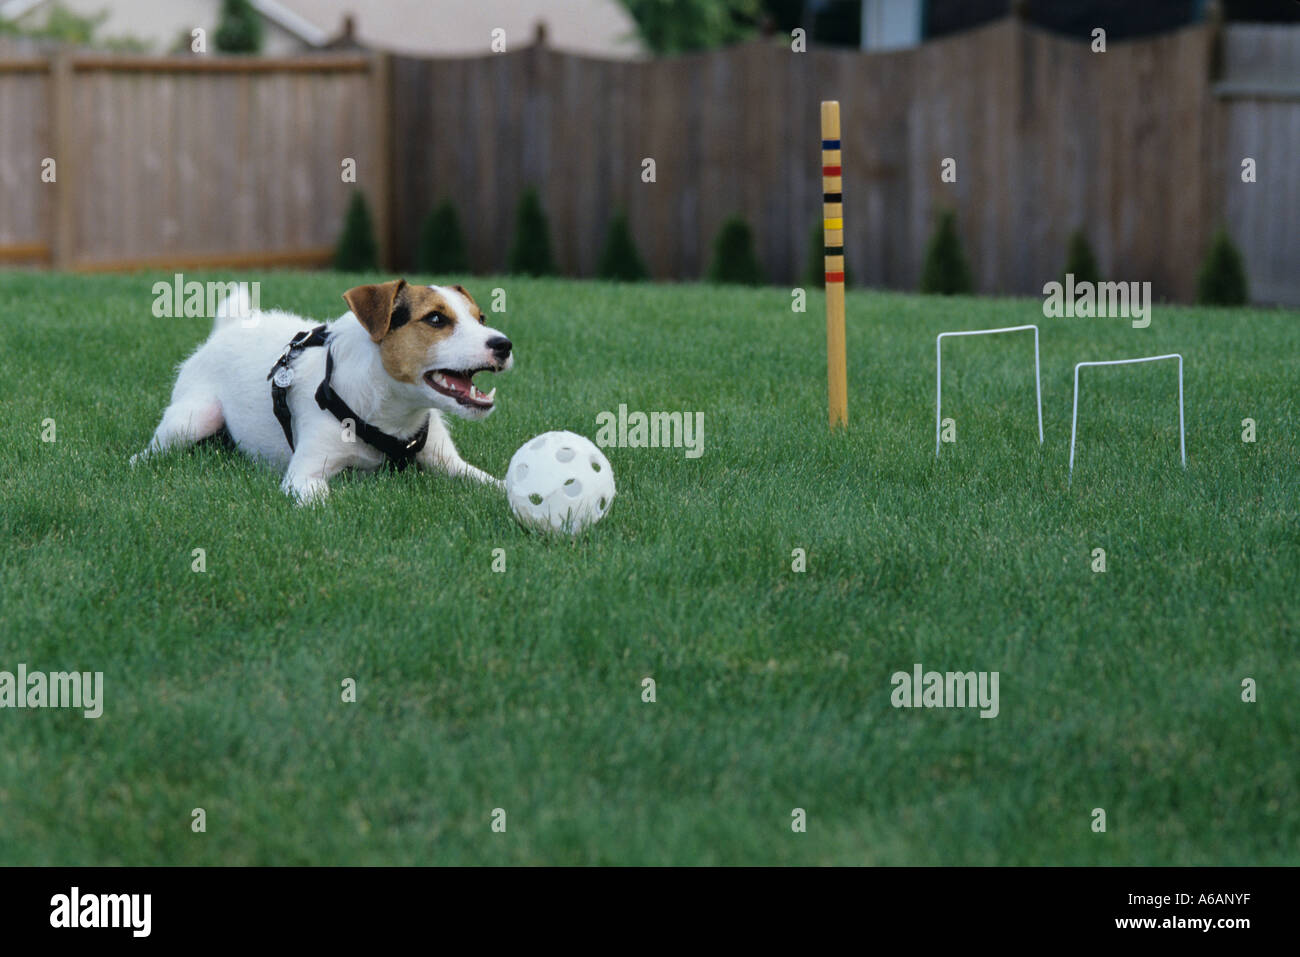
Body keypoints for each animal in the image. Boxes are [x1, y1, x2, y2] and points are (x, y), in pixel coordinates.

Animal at [135, 276, 512, 501]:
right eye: (435, 319)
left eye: (481, 319)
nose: (504, 345)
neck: (390, 413)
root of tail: (227, 330)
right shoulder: (304, 474)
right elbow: (320, 500)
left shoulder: (448, 462)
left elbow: (496, 483)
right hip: (194, 418)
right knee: (150, 451)